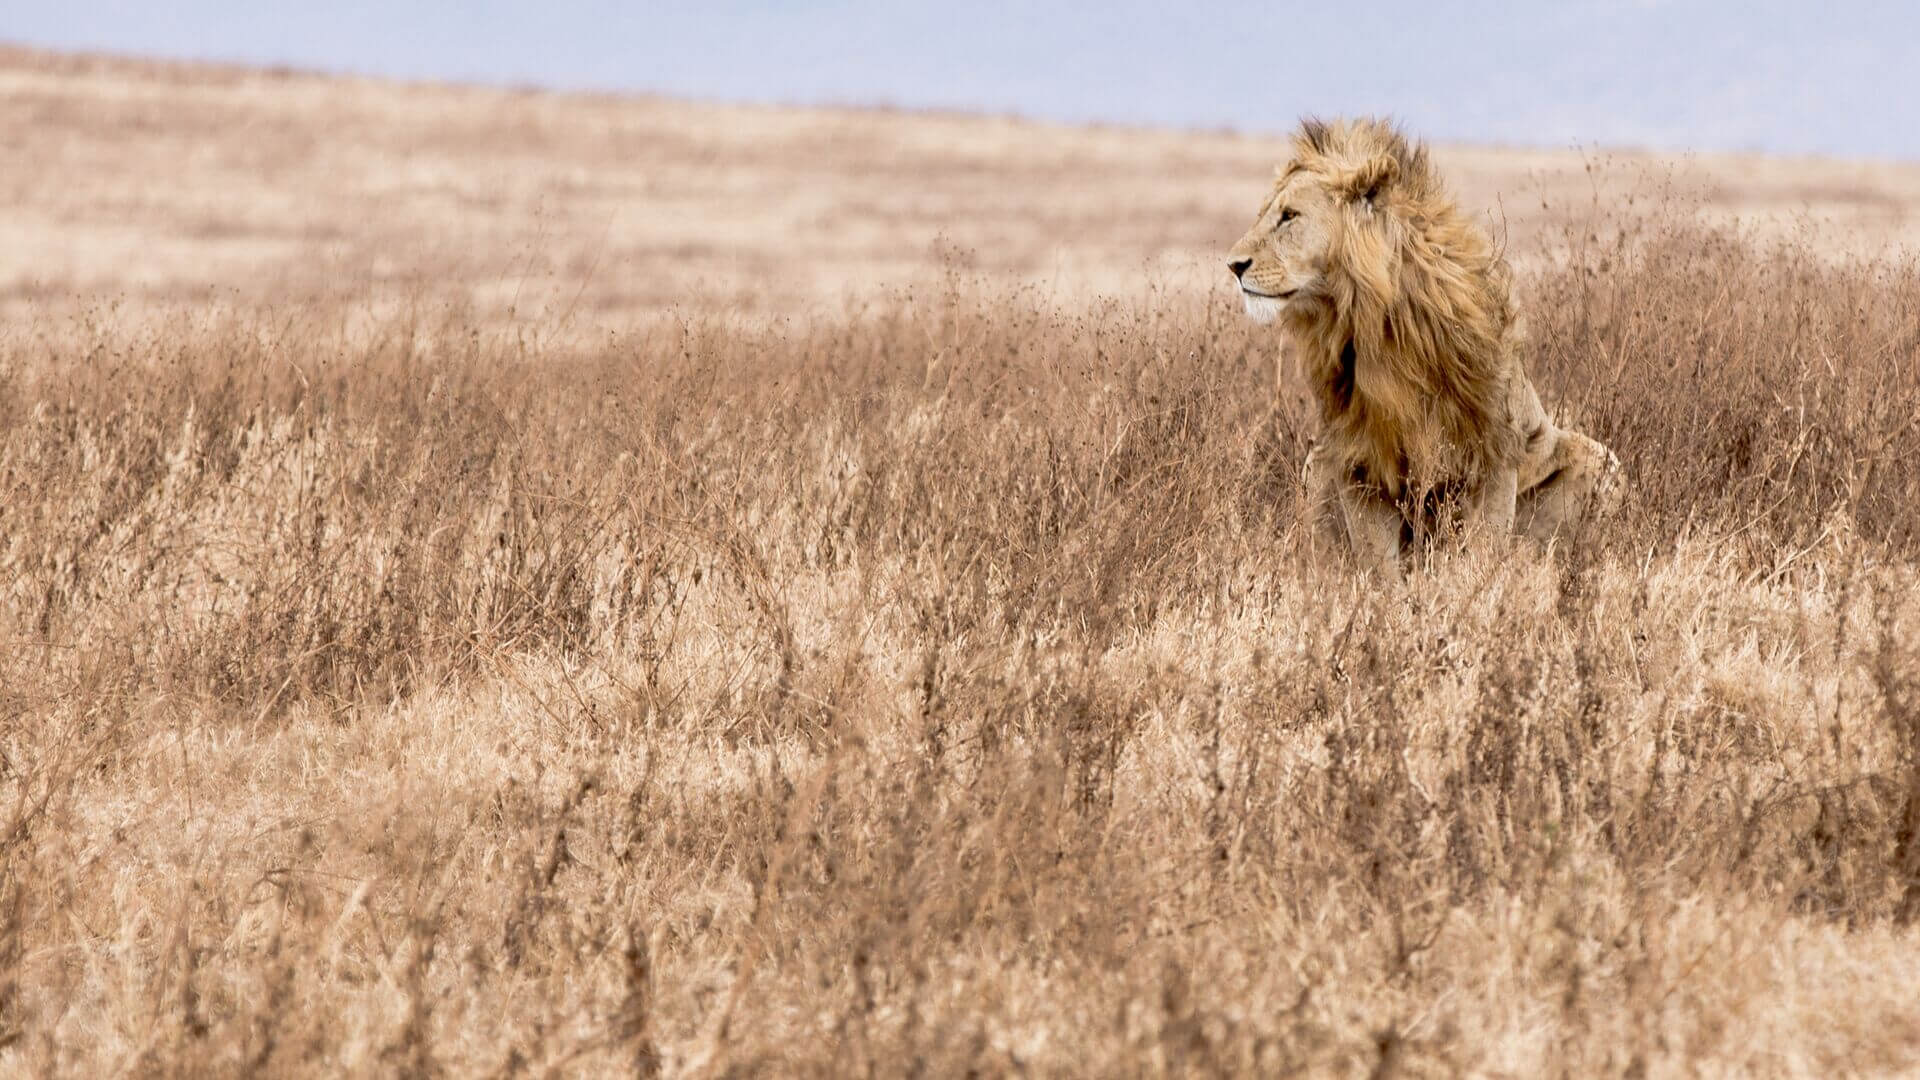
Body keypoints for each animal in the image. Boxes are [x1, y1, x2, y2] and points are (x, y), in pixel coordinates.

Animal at [1228, 115, 1620, 572]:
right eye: (1264, 215)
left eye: (1289, 216)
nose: (1233, 265)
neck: (1374, 323)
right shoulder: (1359, 463)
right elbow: (1378, 567)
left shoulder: (1495, 451)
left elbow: (1484, 552)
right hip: (1319, 461)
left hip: (1603, 461)